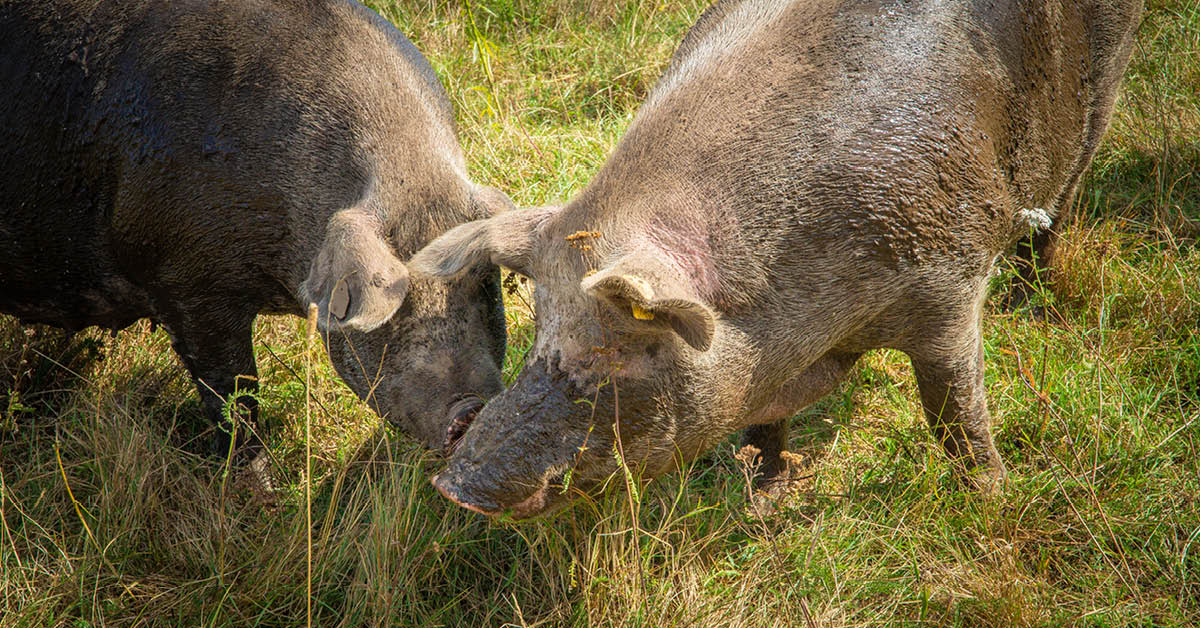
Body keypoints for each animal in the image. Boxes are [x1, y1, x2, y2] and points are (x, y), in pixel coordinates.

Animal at [412, 0, 1142, 518]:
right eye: (539, 330)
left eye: (619, 348)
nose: (454, 483)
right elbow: (764, 421)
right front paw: (764, 499)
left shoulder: (948, 287)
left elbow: (953, 408)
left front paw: (991, 499)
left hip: (1102, 89)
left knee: (1069, 186)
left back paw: (1031, 296)